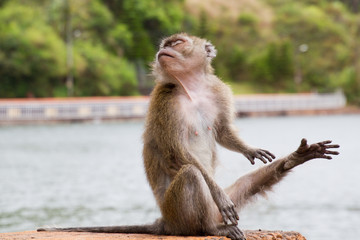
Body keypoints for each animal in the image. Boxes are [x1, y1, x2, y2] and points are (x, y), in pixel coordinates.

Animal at [38, 32, 338, 239]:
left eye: (177, 43)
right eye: (165, 44)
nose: (163, 50)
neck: (191, 87)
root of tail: (165, 221)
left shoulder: (218, 90)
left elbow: (222, 131)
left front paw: (251, 149)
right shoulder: (164, 101)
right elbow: (177, 152)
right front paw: (217, 190)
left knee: (244, 185)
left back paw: (295, 158)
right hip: (179, 212)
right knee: (193, 175)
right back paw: (210, 229)